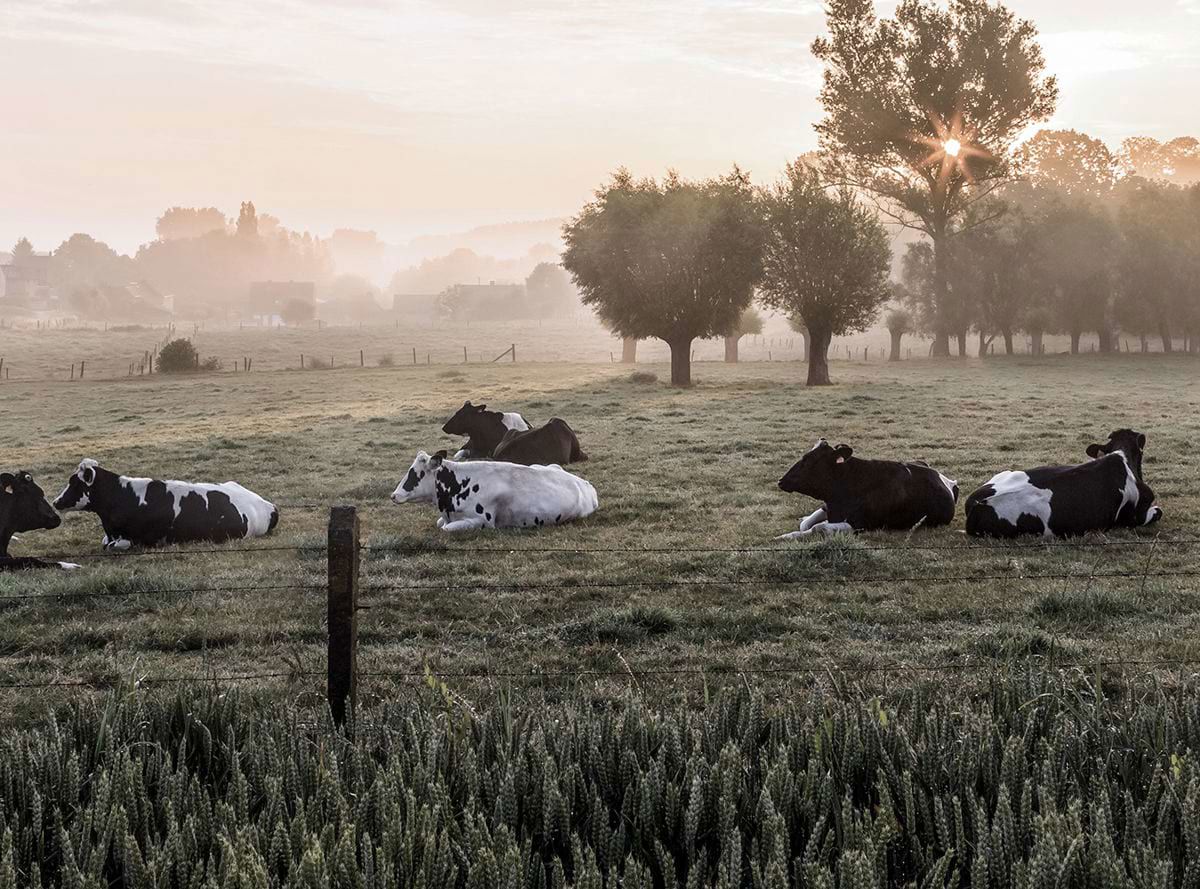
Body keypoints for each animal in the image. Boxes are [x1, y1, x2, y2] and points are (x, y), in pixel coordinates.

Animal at [391, 446, 597, 530]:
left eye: (415, 473)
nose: (394, 495)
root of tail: (587, 485)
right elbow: (439, 523)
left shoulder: (481, 521)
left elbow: (445, 528)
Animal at [772, 436, 960, 535]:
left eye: (809, 459)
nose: (781, 481)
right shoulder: (827, 507)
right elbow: (806, 524)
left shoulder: (860, 524)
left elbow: (818, 527)